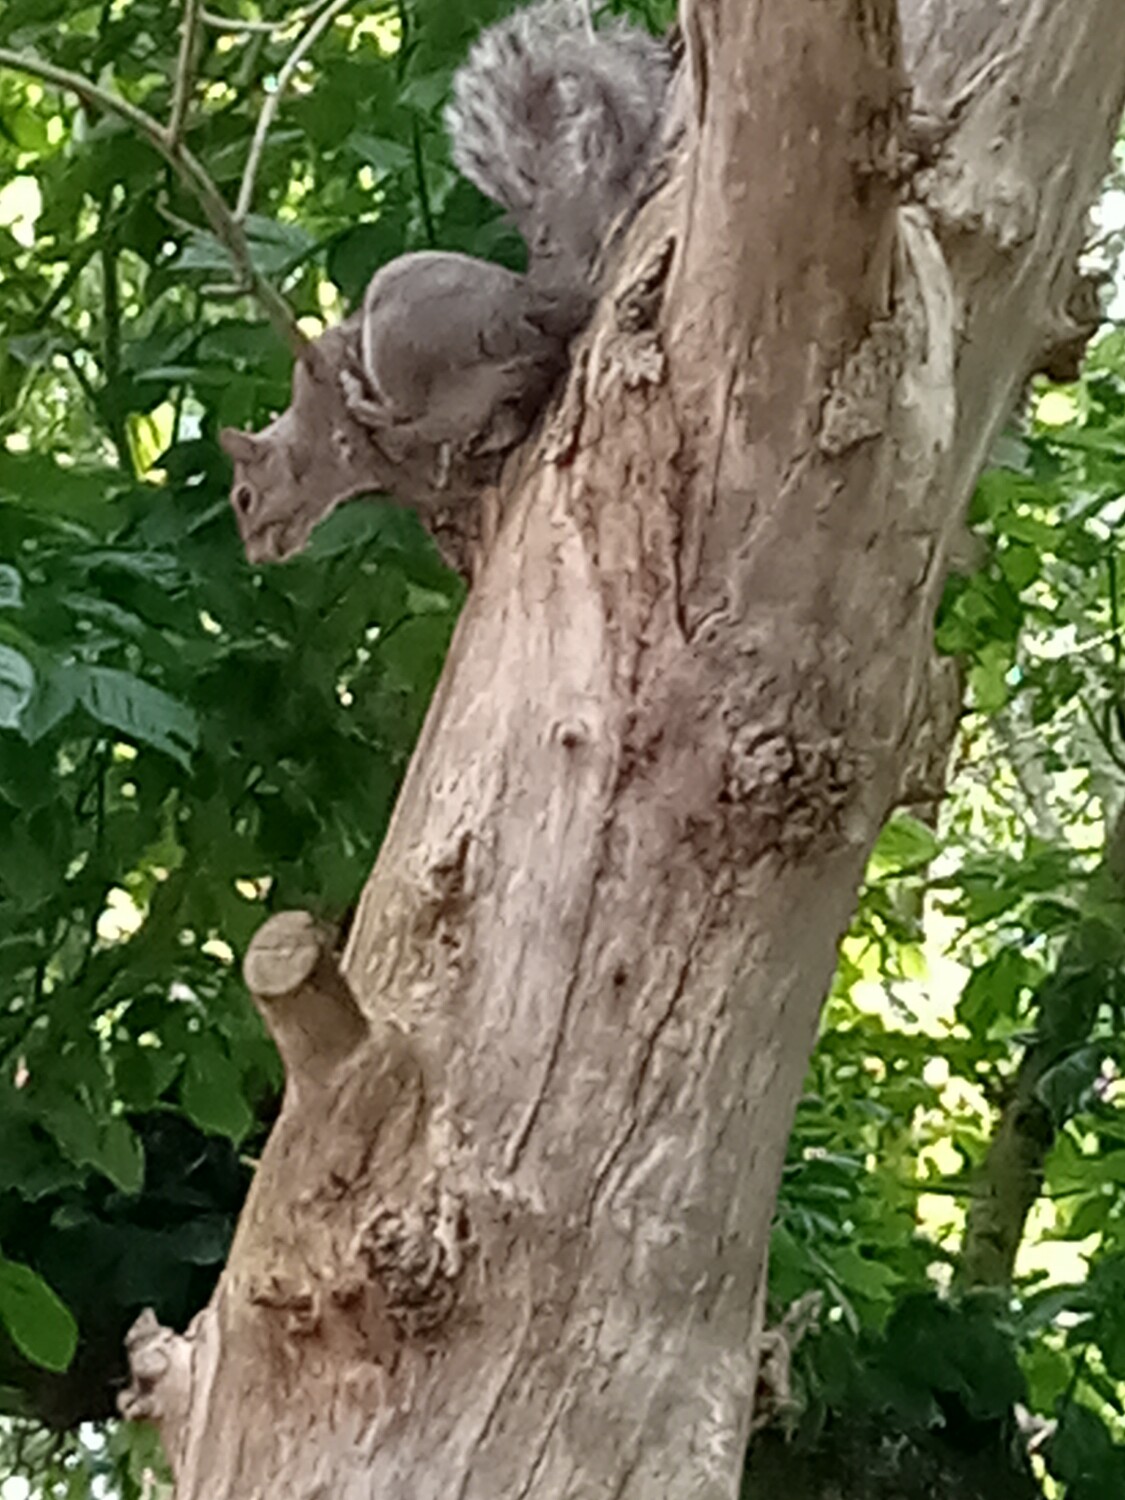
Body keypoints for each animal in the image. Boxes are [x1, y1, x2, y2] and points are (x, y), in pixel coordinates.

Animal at [220, 0, 672, 564]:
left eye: (244, 497)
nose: (256, 558)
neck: (319, 459)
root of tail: (533, 301)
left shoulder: (321, 370)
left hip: (407, 334)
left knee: (421, 408)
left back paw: (372, 408)